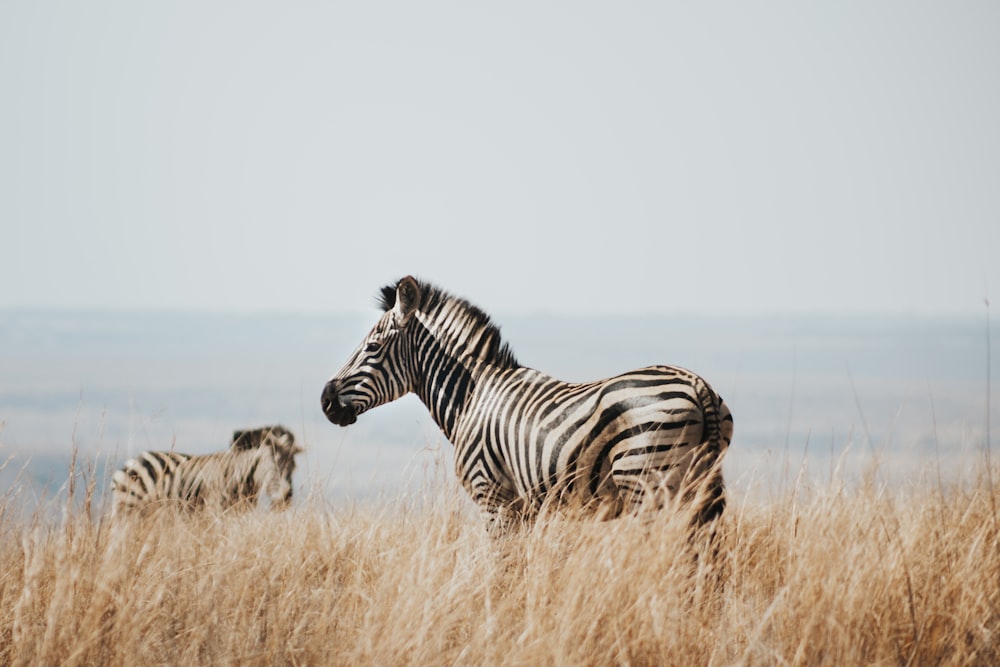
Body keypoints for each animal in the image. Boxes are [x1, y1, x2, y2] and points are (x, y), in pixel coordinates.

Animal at [112, 426, 302, 516]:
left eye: (293, 467)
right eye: (274, 466)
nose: (286, 500)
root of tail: (135, 459)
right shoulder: (213, 511)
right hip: (128, 508)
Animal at [322, 276, 736, 532]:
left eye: (373, 347)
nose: (326, 400)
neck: (472, 396)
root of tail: (697, 384)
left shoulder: (493, 497)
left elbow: (501, 572)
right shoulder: (525, 509)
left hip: (647, 483)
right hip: (699, 486)